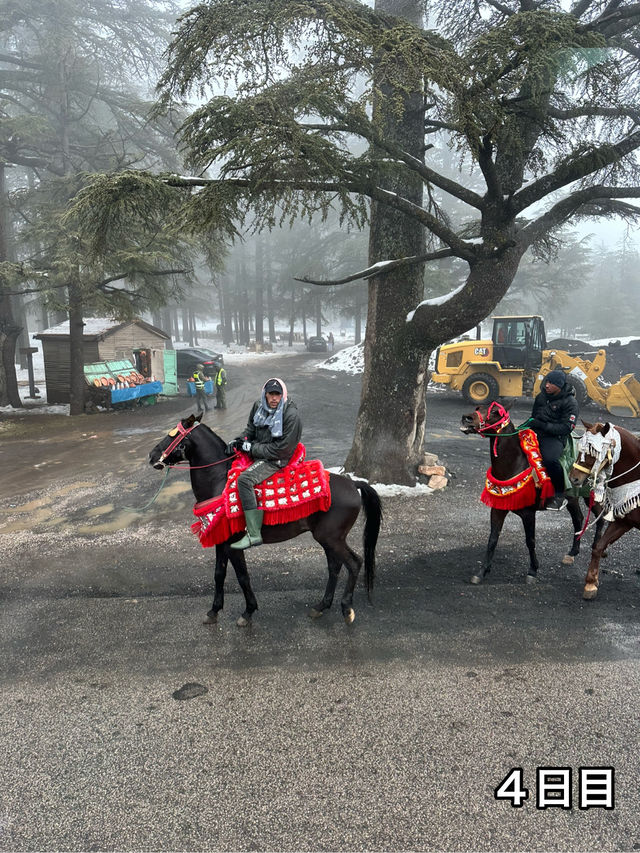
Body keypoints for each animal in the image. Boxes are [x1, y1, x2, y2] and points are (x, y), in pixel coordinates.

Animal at [149, 414, 380, 624]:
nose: (152, 456)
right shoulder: (221, 541)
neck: (220, 482)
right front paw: (214, 611)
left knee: (354, 563)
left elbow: (242, 576)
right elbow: (219, 573)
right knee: (335, 567)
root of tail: (354, 484)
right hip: (327, 539)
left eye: (173, 434)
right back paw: (321, 606)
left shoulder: (233, 543)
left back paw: (347, 608)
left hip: (331, 538)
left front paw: (248, 611)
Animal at [460, 402, 600, 584]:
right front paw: (482, 571)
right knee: (578, 518)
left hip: (591, 493)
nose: (467, 418)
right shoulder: (497, 509)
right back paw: (572, 553)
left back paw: (597, 546)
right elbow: (492, 539)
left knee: (600, 518)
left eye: (496, 412)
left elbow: (530, 541)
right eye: (478, 407)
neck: (514, 464)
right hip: (572, 496)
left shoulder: (528, 513)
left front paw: (533, 570)